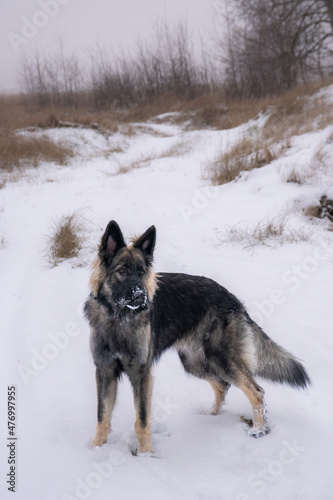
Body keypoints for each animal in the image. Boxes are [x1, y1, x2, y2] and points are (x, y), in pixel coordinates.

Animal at [84, 221, 310, 456]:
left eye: (142, 272)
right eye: (122, 271)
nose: (141, 297)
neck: (119, 319)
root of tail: (232, 298)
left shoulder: (141, 374)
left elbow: (142, 421)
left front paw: (145, 454)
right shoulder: (105, 371)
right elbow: (102, 416)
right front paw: (96, 449)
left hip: (222, 361)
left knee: (256, 391)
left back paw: (258, 430)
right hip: (194, 363)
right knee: (222, 386)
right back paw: (211, 419)